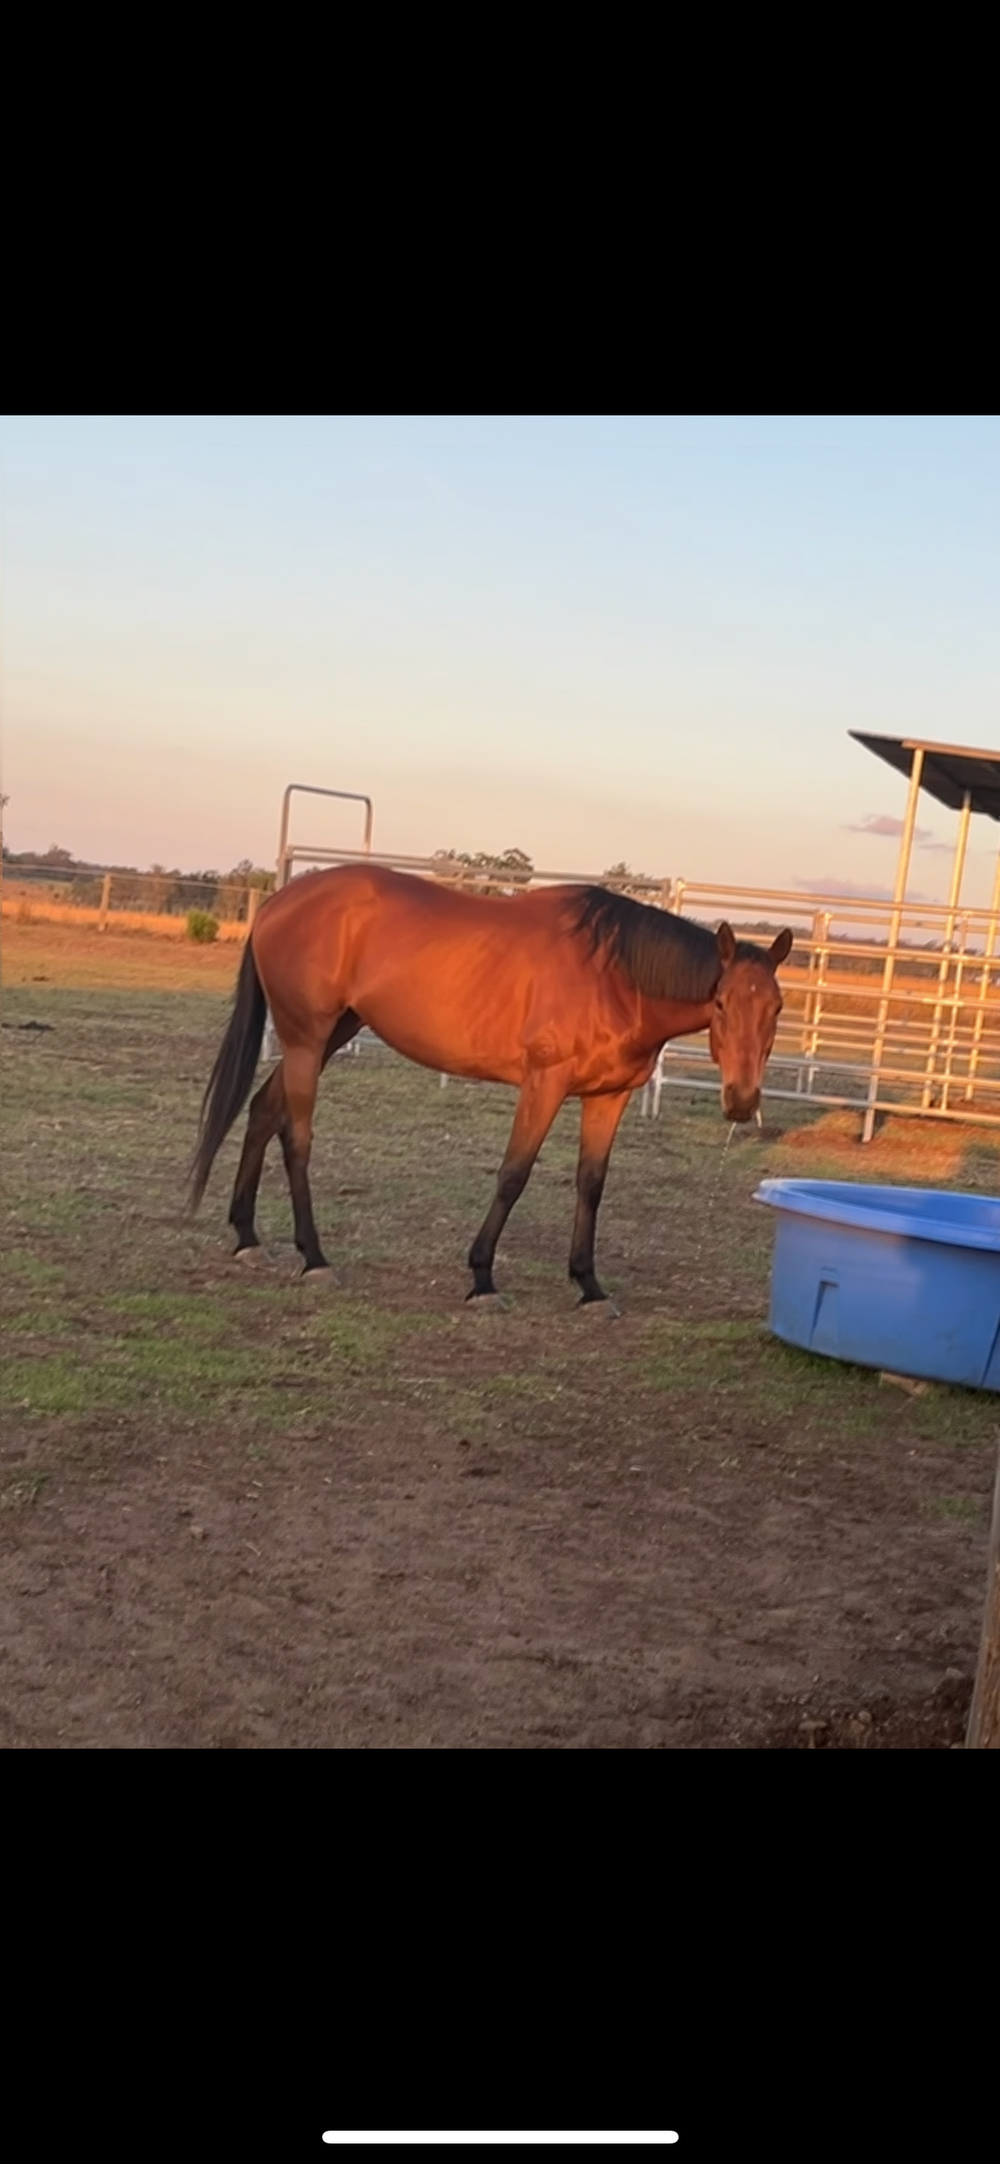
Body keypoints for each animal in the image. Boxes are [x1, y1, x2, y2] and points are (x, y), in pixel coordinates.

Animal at [190, 864, 792, 1302]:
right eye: (721, 1002)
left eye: (777, 1008)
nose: (742, 1101)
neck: (616, 975)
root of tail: (279, 901)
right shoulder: (544, 1085)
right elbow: (513, 1175)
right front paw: (482, 1277)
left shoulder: (608, 1098)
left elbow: (591, 1183)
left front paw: (589, 1285)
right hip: (306, 1040)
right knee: (296, 1137)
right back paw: (314, 1258)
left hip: (328, 1036)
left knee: (262, 1110)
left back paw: (247, 1237)